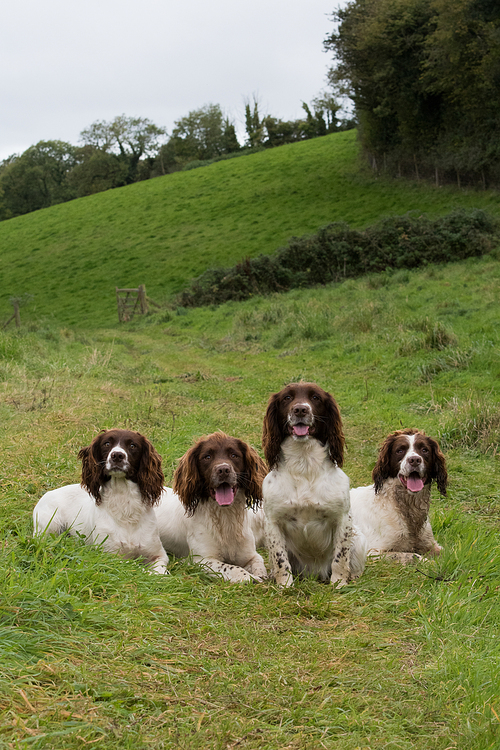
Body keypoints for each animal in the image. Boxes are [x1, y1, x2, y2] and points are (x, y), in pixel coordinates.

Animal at [33, 428, 170, 576]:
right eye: (107, 443)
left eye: (133, 445)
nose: (117, 455)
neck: (124, 504)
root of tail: (47, 493)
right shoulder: (109, 555)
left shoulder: (159, 554)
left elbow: (158, 571)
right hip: (50, 526)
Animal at [155, 432, 270, 584]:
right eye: (207, 457)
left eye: (234, 455)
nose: (223, 470)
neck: (225, 516)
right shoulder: (202, 561)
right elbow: (235, 569)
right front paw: (251, 578)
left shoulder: (250, 554)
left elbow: (259, 563)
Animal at [262, 384, 368, 592]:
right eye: (287, 398)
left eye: (315, 398)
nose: (300, 409)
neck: (304, 464)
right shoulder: (272, 522)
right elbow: (280, 560)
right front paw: (285, 585)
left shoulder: (343, 519)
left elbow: (340, 558)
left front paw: (339, 583)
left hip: (358, 539)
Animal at [348, 428, 450, 564]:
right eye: (400, 450)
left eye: (424, 450)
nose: (414, 460)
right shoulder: (372, 552)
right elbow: (412, 556)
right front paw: (430, 563)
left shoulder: (431, 545)